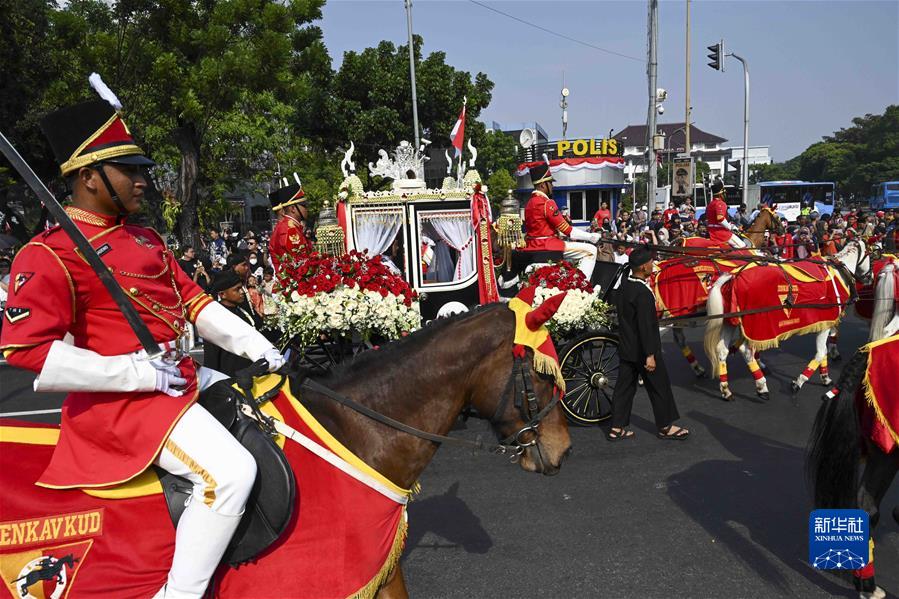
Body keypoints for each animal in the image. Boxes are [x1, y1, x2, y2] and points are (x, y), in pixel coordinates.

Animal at [704, 237, 872, 400]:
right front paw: (799, 381)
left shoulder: (825, 323)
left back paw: (726, 390)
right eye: (870, 254)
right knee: (746, 351)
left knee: (722, 350)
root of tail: (734, 277)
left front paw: (825, 377)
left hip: (730, 323)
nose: (870, 277)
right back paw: (762, 386)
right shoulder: (825, 324)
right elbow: (820, 353)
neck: (838, 272)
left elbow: (823, 352)